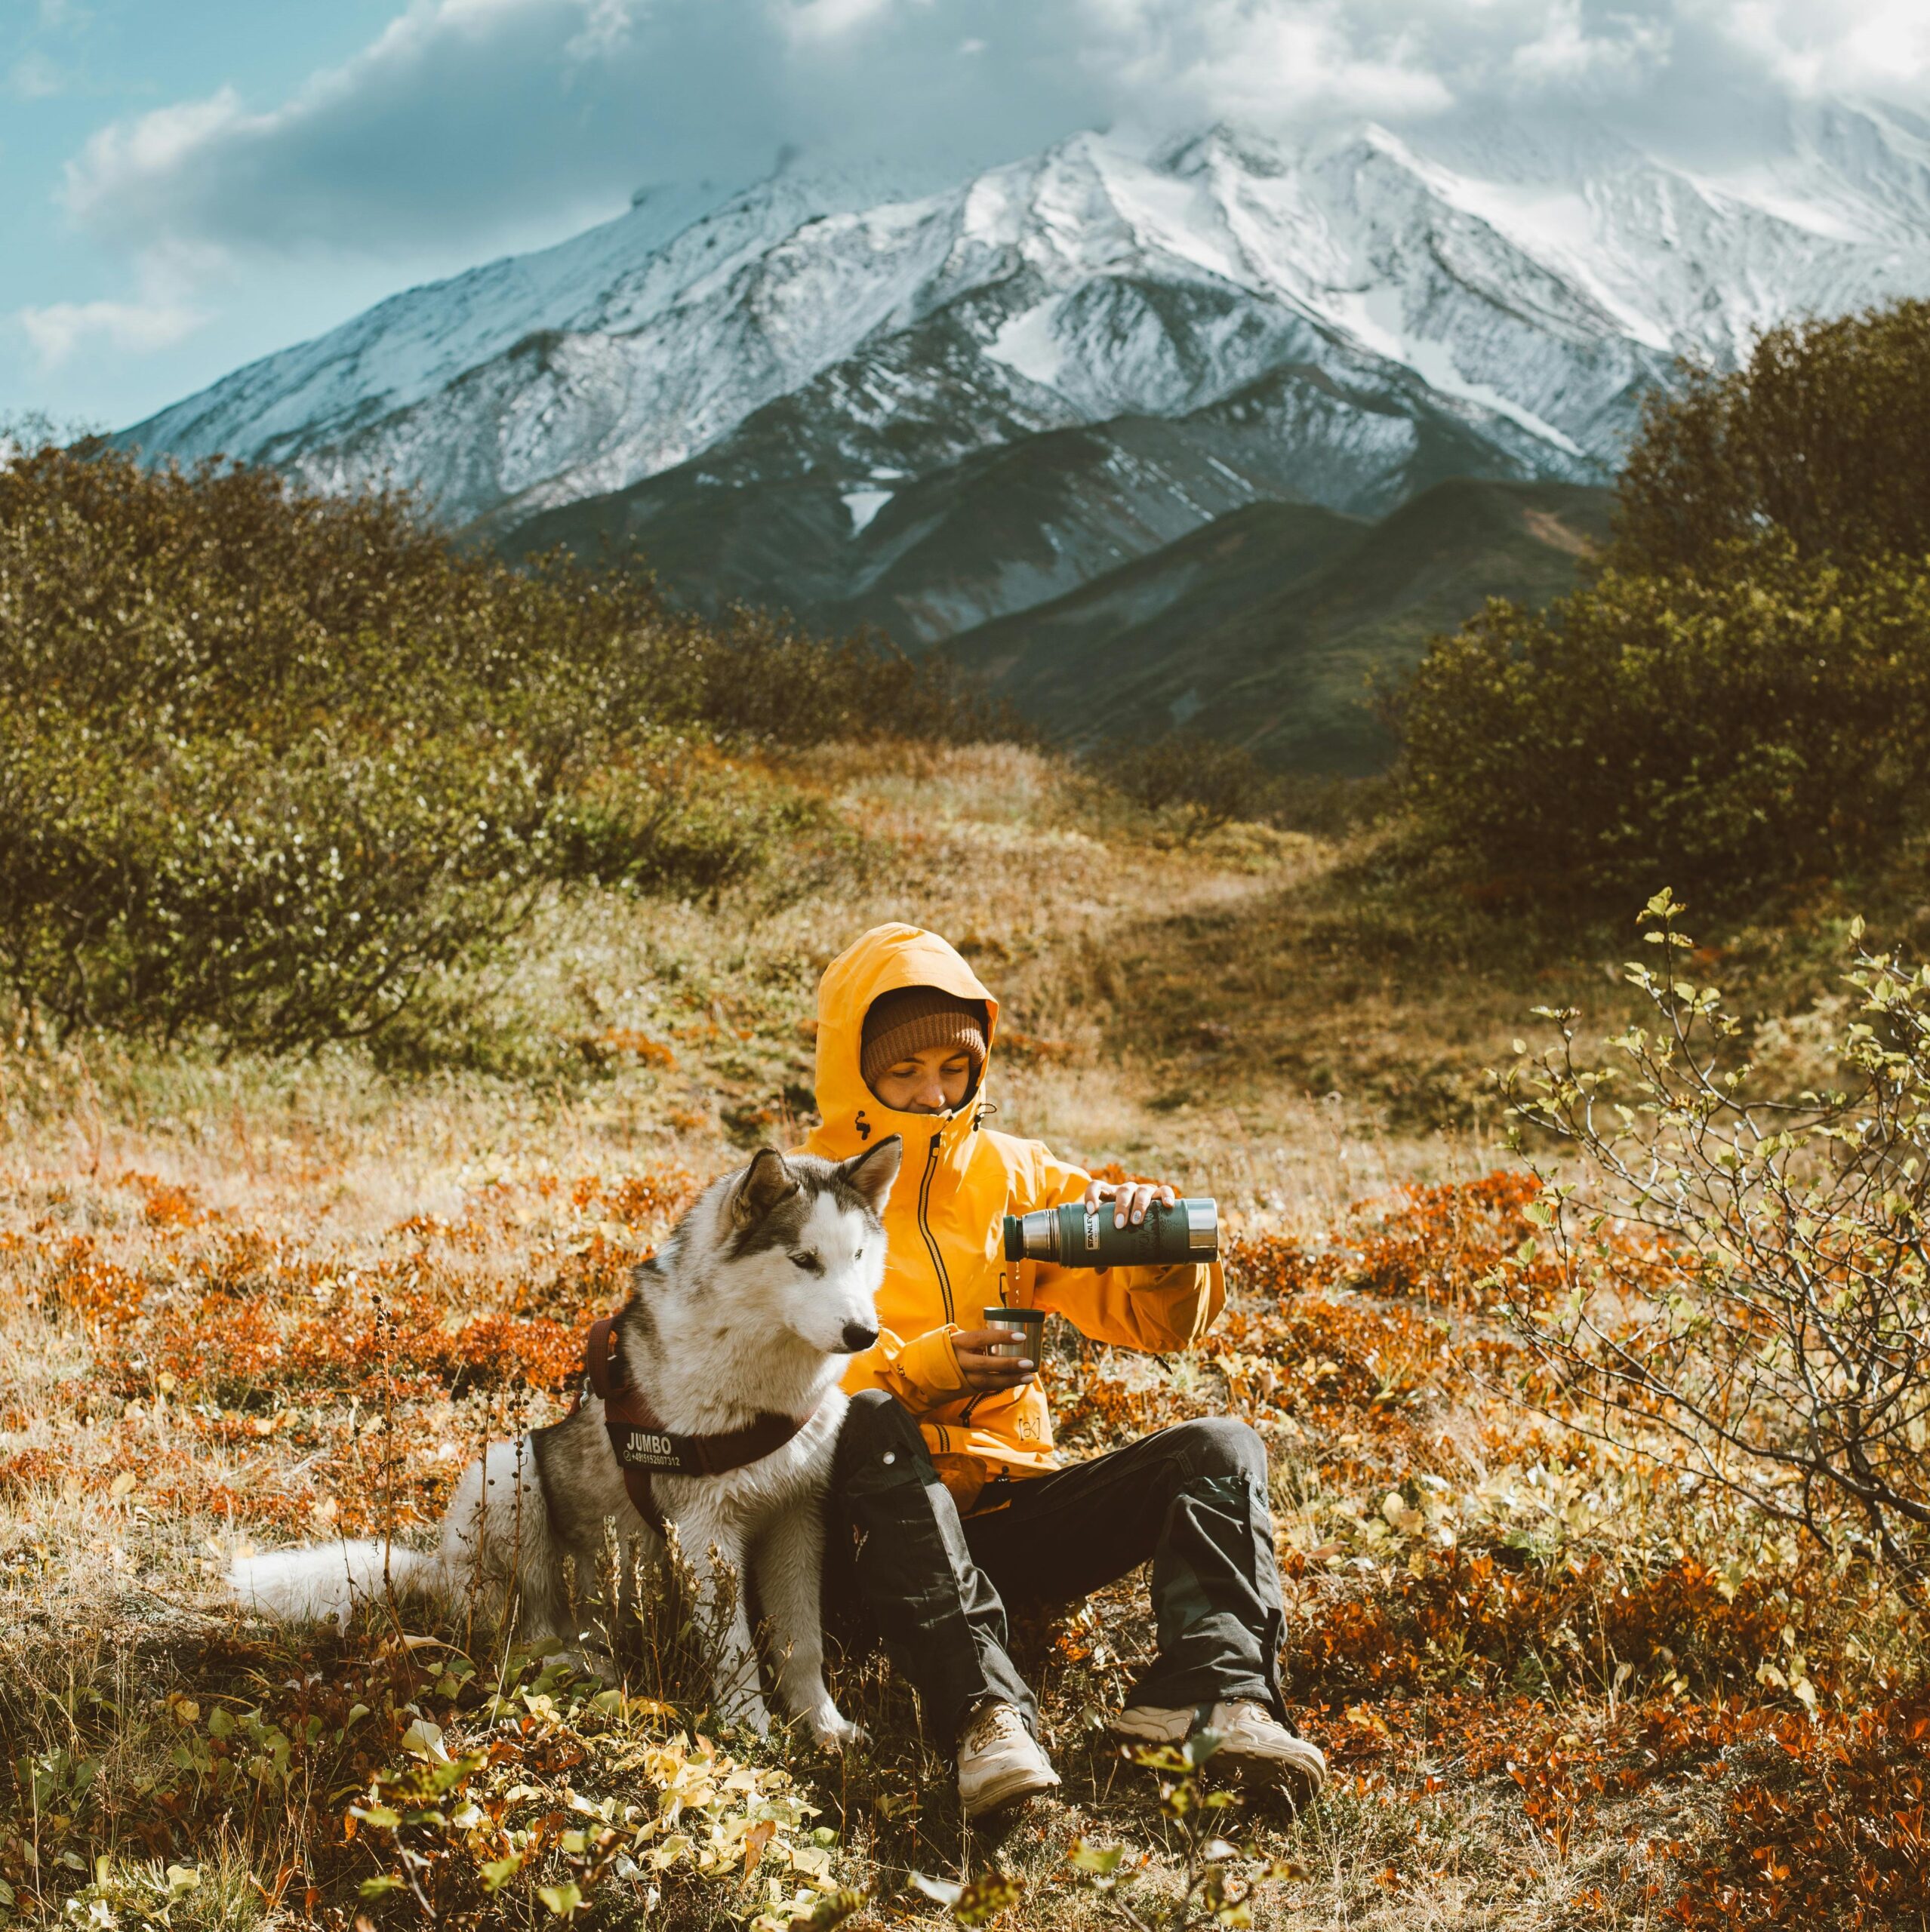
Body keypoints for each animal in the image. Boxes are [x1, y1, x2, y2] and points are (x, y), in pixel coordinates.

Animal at [229, 1136, 907, 1746]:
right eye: (803, 1260)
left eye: (857, 1255)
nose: (864, 1333)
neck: (765, 1388)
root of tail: (440, 1570)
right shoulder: (705, 1529)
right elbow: (735, 1649)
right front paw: (752, 1731)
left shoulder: (797, 1518)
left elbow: (802, 1643)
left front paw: (823, 1725)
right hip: (508, 1473)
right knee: (525, 1637)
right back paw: (579, 1666)